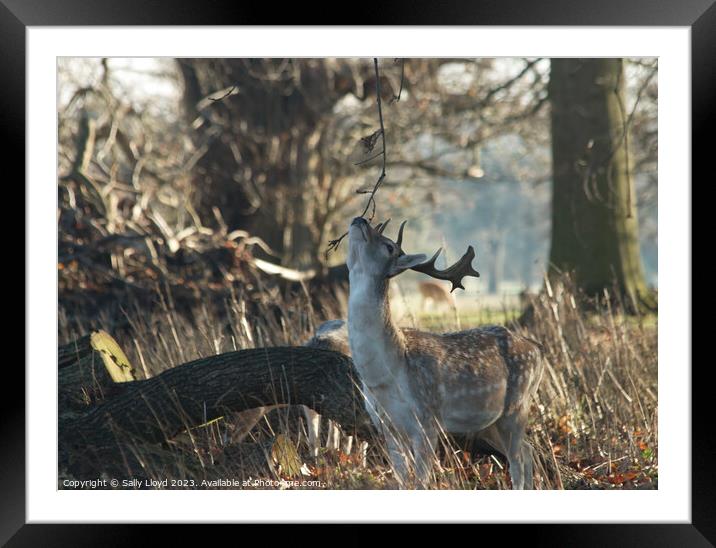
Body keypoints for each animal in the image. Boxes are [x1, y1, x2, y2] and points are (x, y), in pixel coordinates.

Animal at [346, 216, 544, 490]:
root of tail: (537, 349)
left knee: (517, 459)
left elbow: (420, 482)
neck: (385, 374)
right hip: (490, 421)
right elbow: (400, 479)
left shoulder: (427, 418)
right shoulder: (385, 425)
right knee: (527, 449)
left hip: (518, 405)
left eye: (389, 246)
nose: (361, 219)